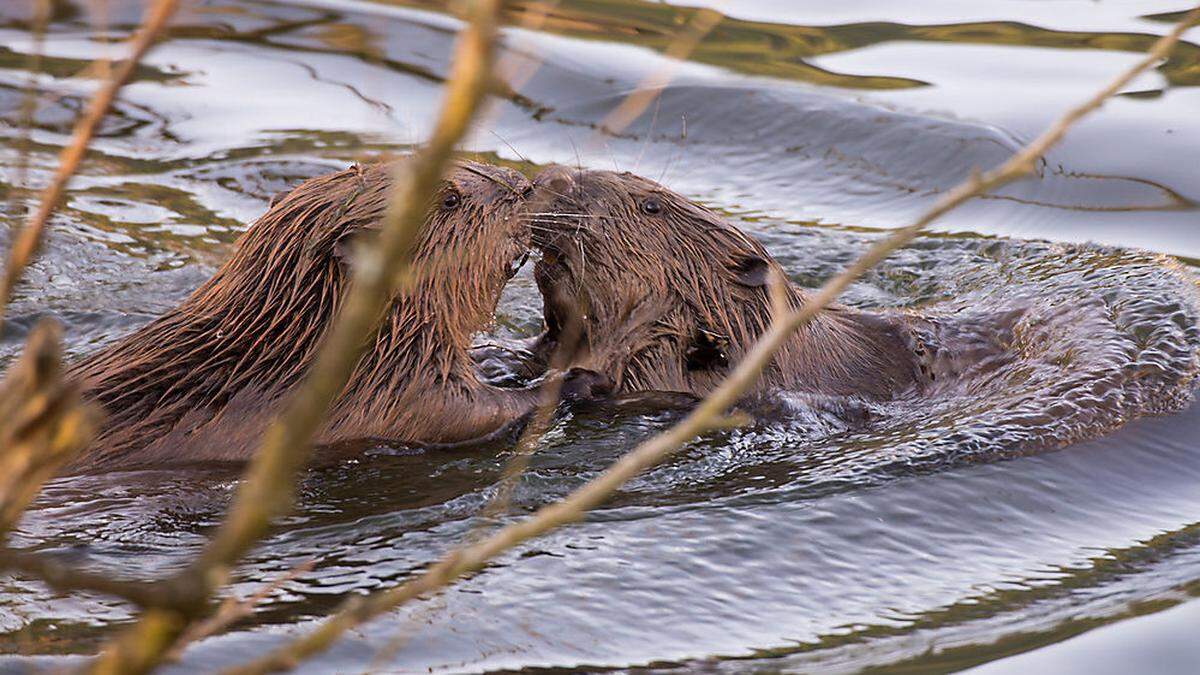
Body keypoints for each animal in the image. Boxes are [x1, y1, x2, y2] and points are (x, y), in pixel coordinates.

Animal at [66, 159, 549, 470]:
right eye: (449, 200)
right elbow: (470, 413)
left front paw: (503, 356)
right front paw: (562, 380)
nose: (524, 186)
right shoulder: (387, 395)